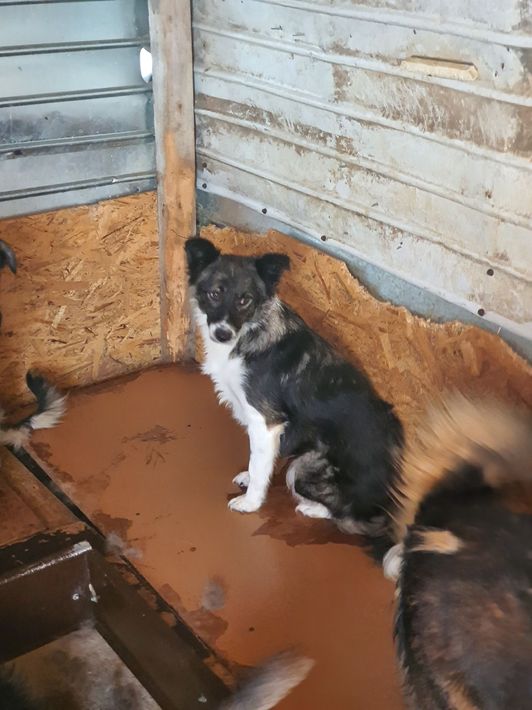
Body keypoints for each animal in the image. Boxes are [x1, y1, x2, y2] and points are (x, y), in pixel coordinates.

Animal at [185, 237, 403, 532]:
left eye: (244, 300)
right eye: (214, 294)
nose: (222, 334)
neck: (250, 333)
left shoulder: (265, 419)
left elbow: (259, 463)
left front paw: (250, 501)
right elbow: (262, 460)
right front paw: (250, 477)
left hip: (302, 467)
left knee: (344, 515)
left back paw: (311, 508)